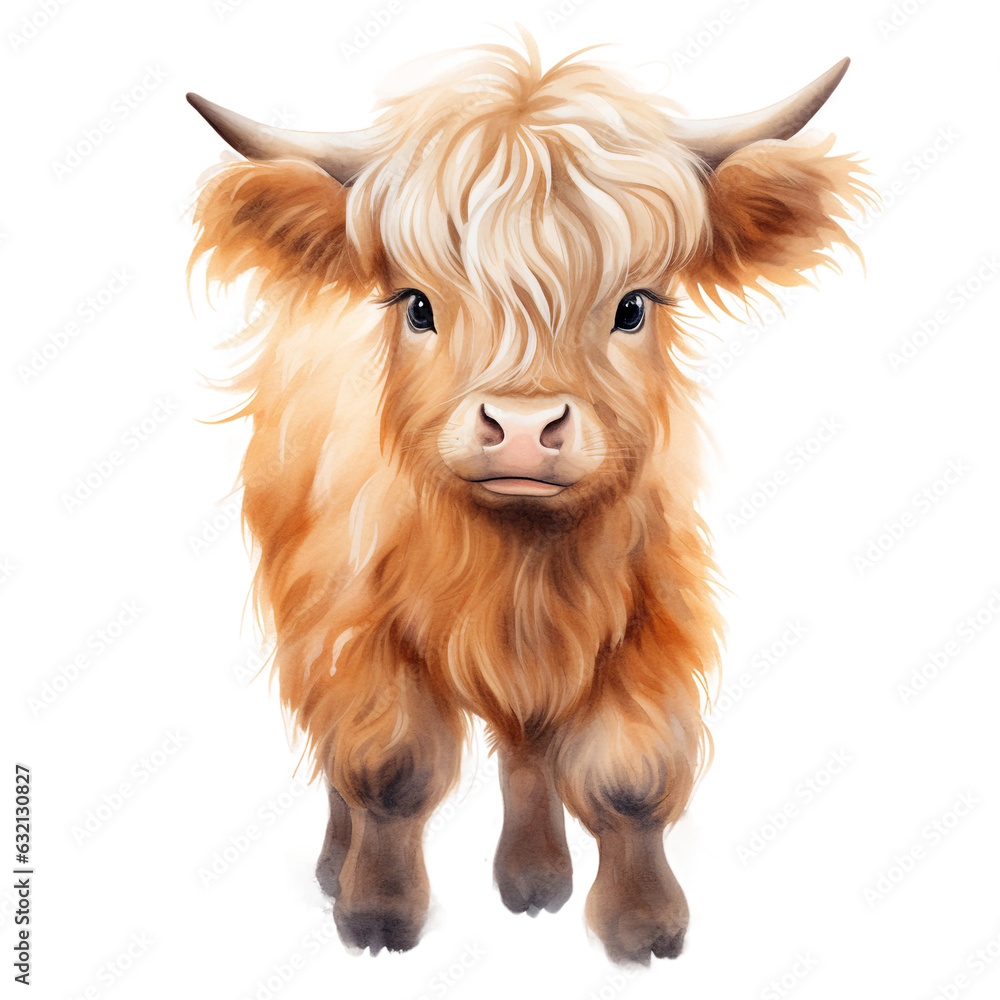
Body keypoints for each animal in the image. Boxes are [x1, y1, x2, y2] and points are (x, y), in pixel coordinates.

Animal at [187, 35, 868, 964]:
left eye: (633, 306)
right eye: (418, 305)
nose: (519, 427)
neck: (522, 561)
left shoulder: (648, 615)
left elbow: (627, 777)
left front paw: (643, 926)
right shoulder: (354, 621)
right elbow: (389, 767)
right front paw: (376, 916)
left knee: (526, 743)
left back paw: (535, 881)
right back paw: (336, 867)